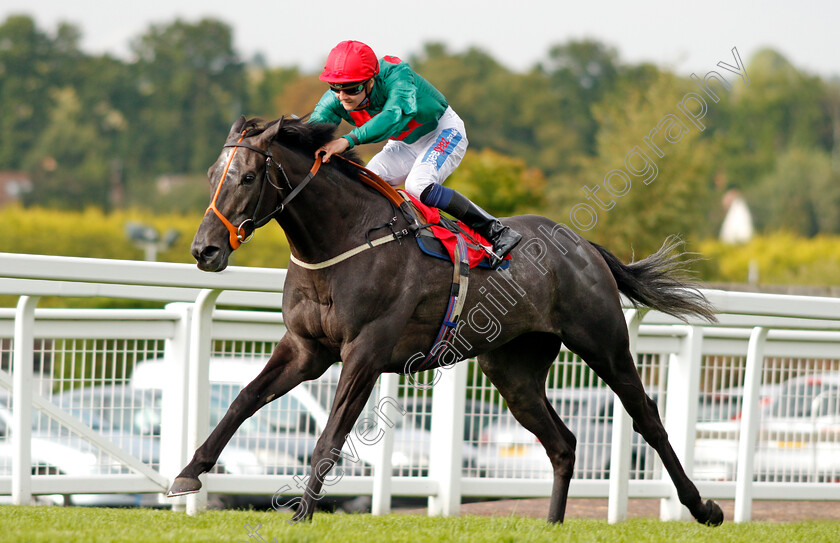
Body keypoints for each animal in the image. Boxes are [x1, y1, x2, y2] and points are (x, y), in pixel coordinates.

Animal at [169, 116, 720, 528]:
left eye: (247, 177)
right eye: (212, 175)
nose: (204, 250)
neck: (343, 239)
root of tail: (583, 245)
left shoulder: (365, 352)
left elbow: (329, 436)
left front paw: (301, 514)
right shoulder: (305, 348)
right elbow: (243, 400)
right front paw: (188, 473)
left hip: (603, 343)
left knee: (647, 418)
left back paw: (703, 507)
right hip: (514, 370)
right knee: (562, 443)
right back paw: (552, 523)